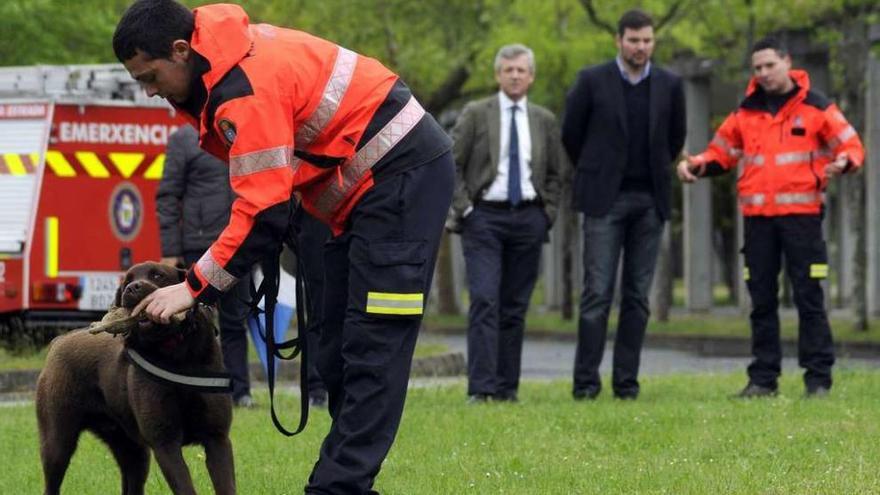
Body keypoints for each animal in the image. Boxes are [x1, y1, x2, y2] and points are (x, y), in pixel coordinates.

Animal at [35, 262, 234, 494]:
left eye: (158, 275)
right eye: (126, 281)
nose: (132, 288)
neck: (175, 351)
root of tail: (58, 341)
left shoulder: (217, 438)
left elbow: (226, 485)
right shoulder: (165, 442)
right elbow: (185, 486)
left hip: (133, 451)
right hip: (57, 441)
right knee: (52, 479)